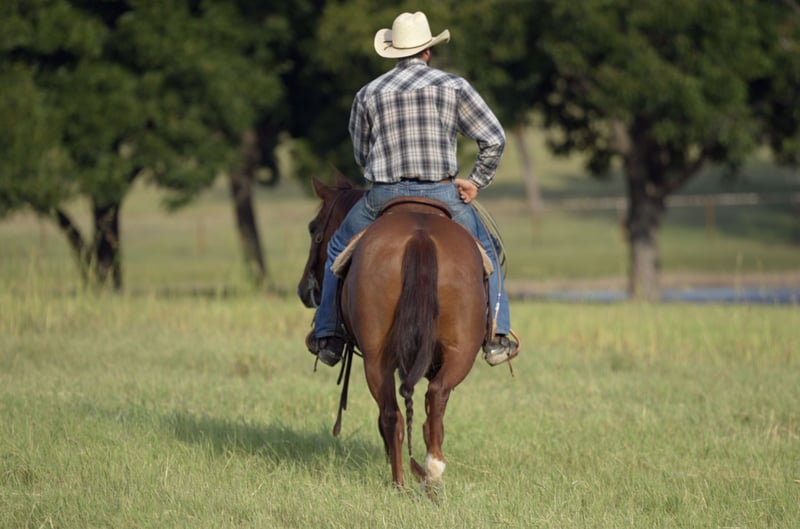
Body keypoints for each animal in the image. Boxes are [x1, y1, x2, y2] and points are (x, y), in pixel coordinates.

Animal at [297, 175, 489, 489]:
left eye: (314, 229)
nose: (304, 290)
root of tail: (420, 237)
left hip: (377, 359)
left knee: (392, 415)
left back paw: (400, 483)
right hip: (459, 353)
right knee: (433, 399)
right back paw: (431, 471)